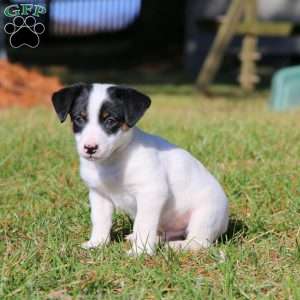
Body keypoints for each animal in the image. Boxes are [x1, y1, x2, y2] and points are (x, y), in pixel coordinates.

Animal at [52, 82, 230, 255]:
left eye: (110, 120)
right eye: (79, 119)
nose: (90, 148)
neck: (114, 160)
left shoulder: (151, 193)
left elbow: (143, 224)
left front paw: (141, 252)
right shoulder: (99, 195)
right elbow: (100, 221)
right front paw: (97, 244)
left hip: (204, 216)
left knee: (199, 242)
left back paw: (176, 246)